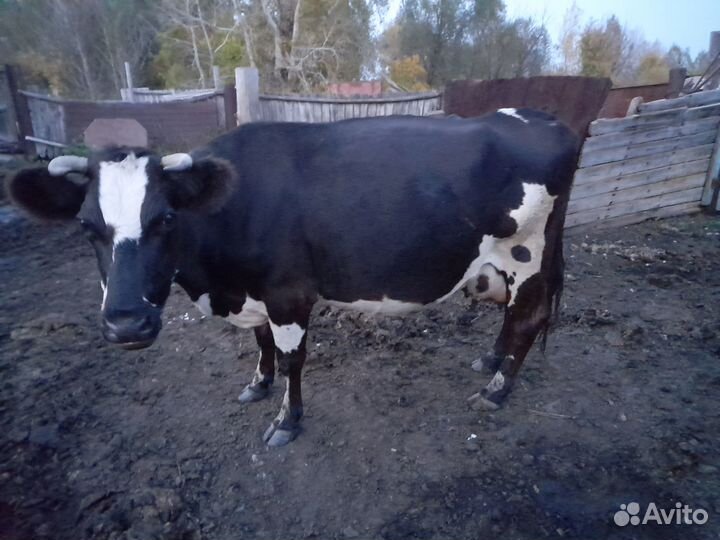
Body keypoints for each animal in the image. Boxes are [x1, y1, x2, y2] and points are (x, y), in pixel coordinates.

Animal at [7, 108, 579, 446]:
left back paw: (497, 391)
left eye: (166, 218)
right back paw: (490, 361)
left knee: (527, 320)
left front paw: (286, 420)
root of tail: (545, 119)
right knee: (512, 318)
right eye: (87, 226)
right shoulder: (252, 292)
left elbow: (291, 359)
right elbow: (260, 345)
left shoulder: (289, 293)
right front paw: (257, 385)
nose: (126, 324)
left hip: (527, 253)